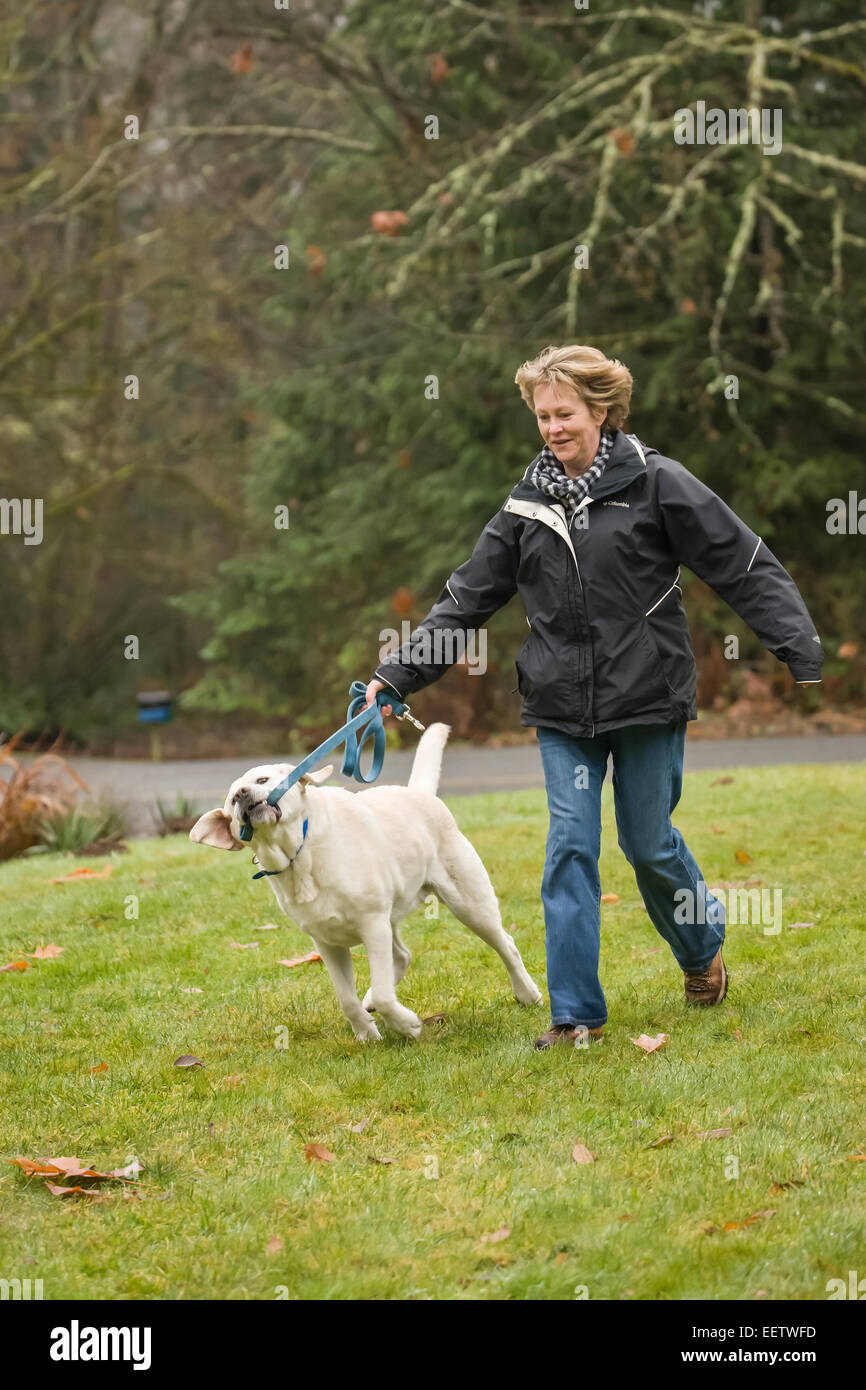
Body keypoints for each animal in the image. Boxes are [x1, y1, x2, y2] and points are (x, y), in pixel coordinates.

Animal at [189, 722, 542, 1039]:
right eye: (231, 801)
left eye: (261, 779)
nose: (242, 794)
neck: (298, 855)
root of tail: (419, 793)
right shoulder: (327, 943)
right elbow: (347, 998)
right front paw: (367, 1033)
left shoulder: (372, 924)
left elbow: (386, 996)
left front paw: (407, 1025)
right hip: (395, 916)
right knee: (402, 956)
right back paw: (371, 998)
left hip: (468, 902)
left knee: (506, 945)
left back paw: (528, 993)